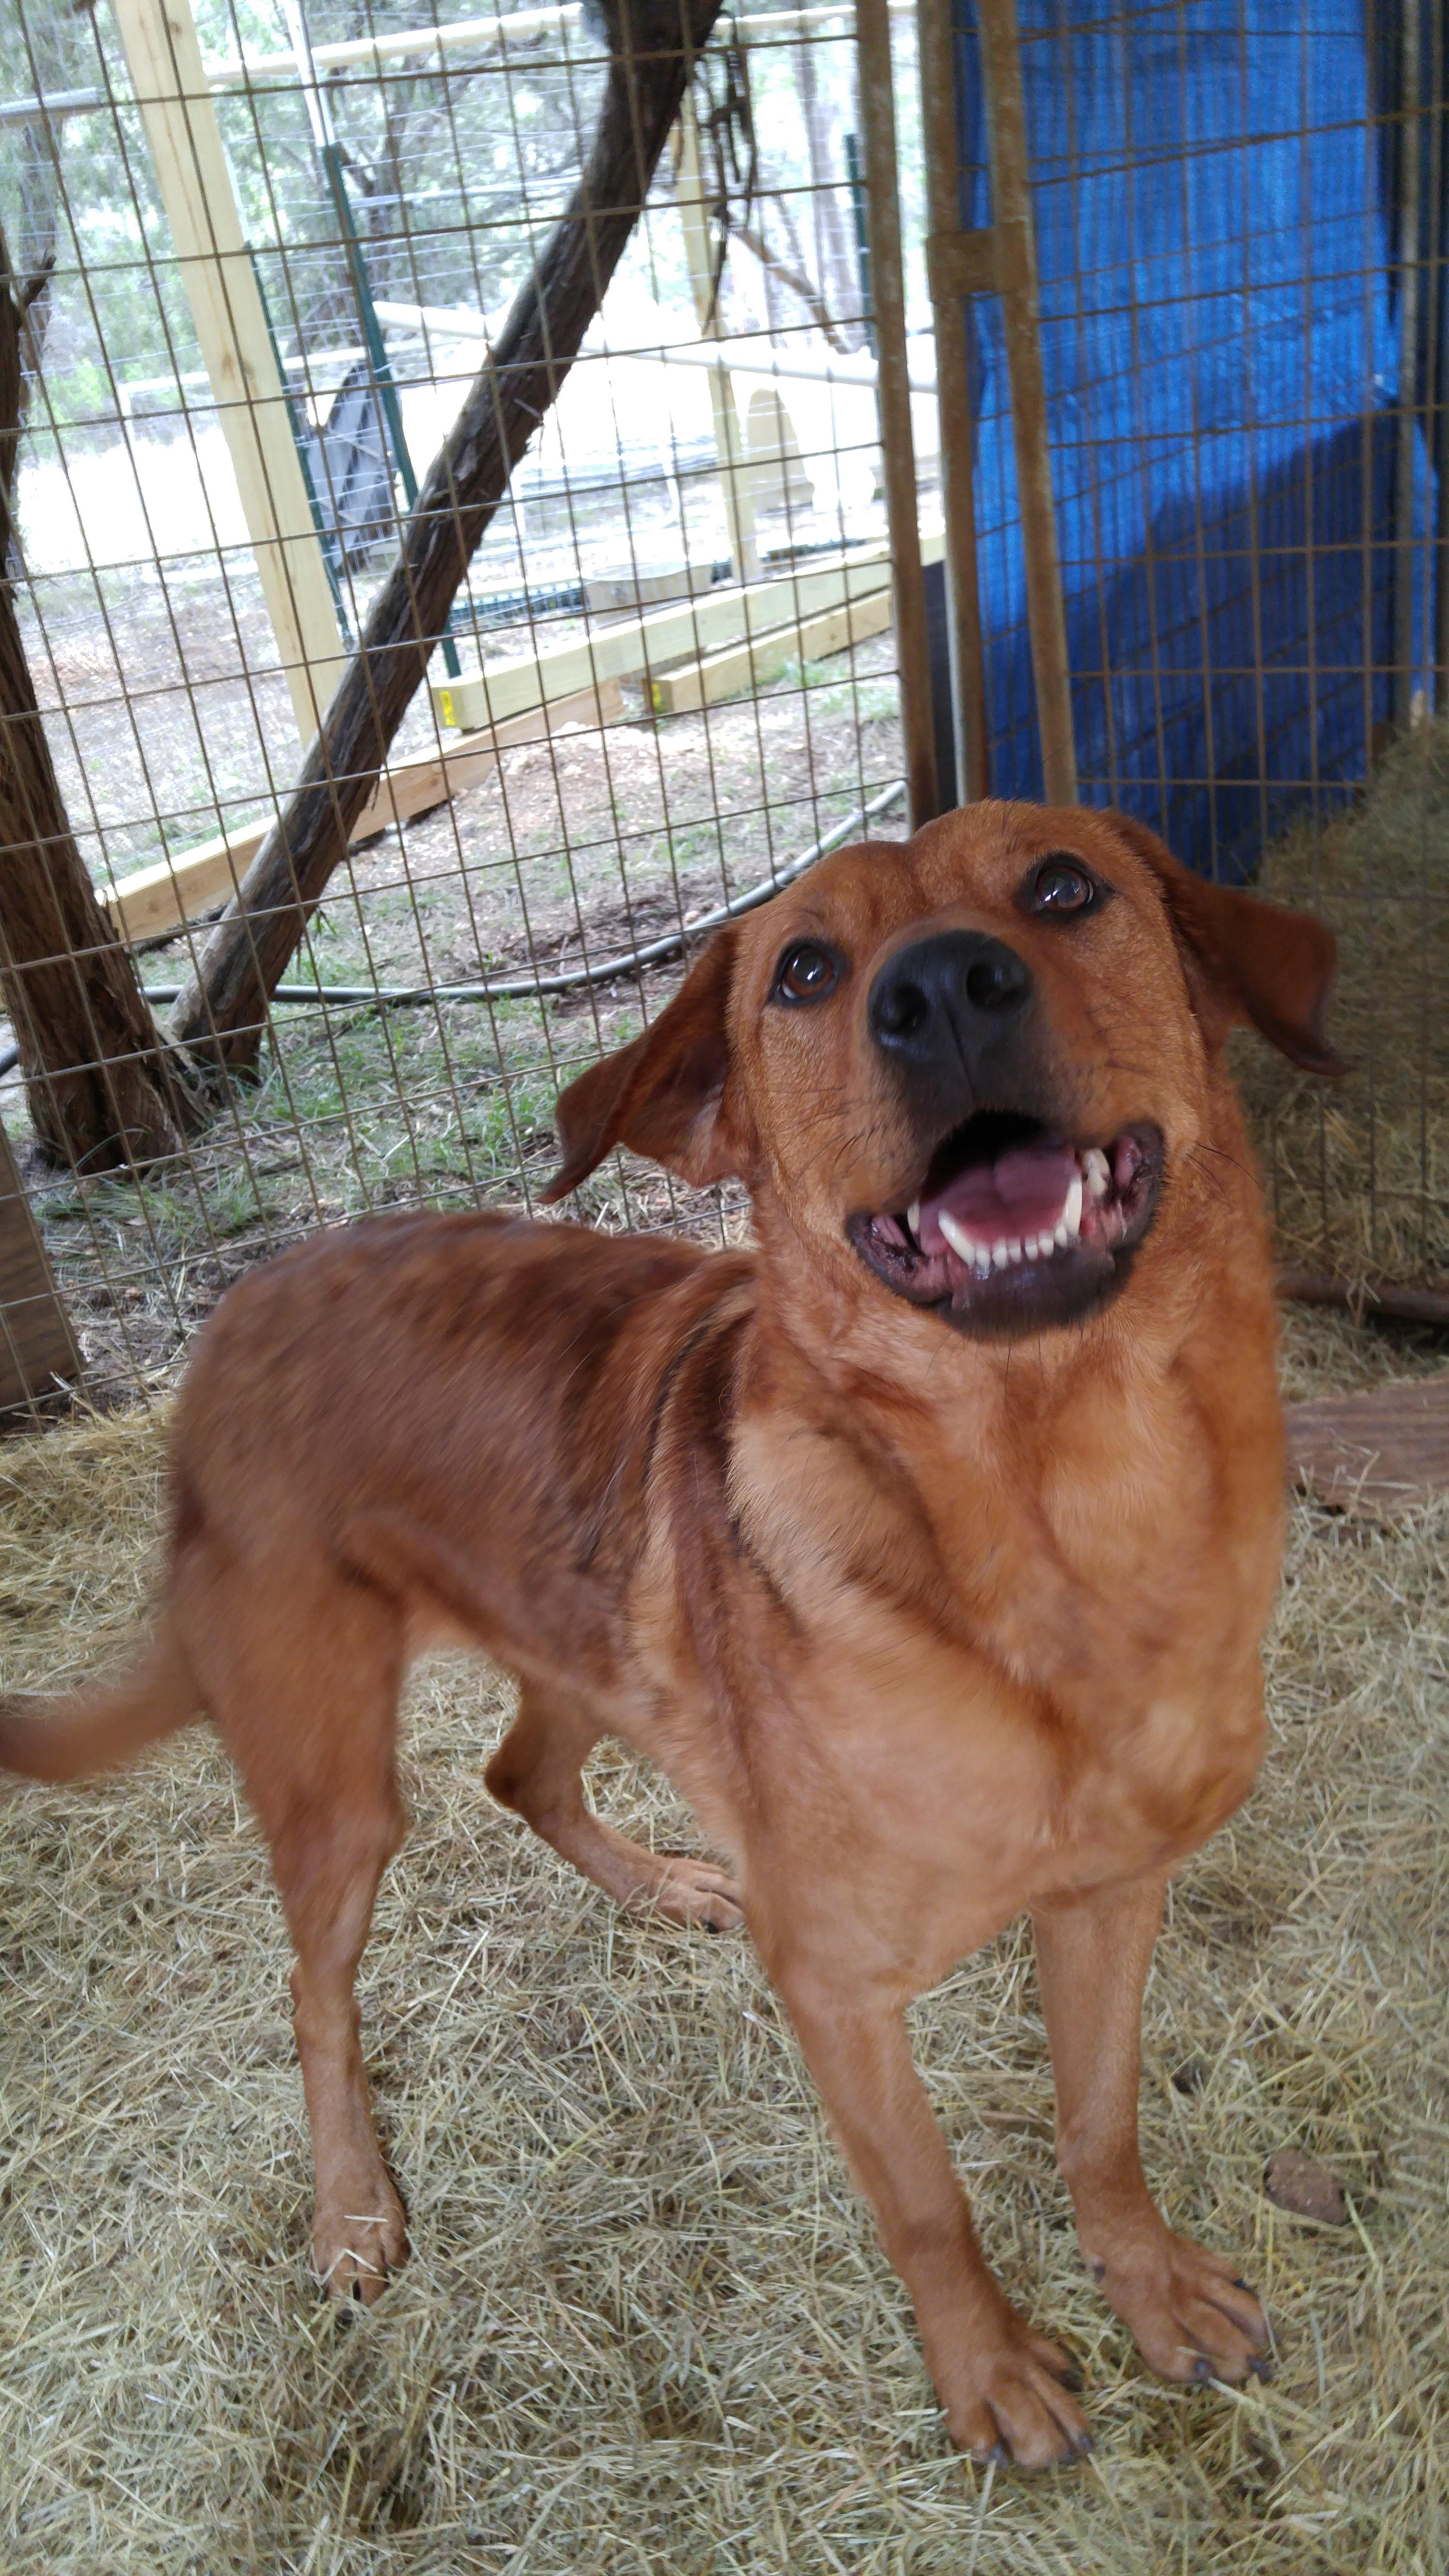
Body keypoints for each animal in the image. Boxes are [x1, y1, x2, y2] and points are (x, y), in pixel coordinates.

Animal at [0, 798, 1330, 2452]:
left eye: (1064, 885)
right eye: (806, 970)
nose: (942, 989)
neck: (1066, 1512)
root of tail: (234, 1311)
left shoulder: (1110, 1899)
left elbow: (1103, 2123)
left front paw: (1145, 2282)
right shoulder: (837, 1991)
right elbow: (928, 2206)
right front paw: (990, 2369)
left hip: (582, 1642)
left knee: (519, 1772)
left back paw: (665, 1884)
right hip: (335, 1783)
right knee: (316, 1989)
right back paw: (352, 2207)